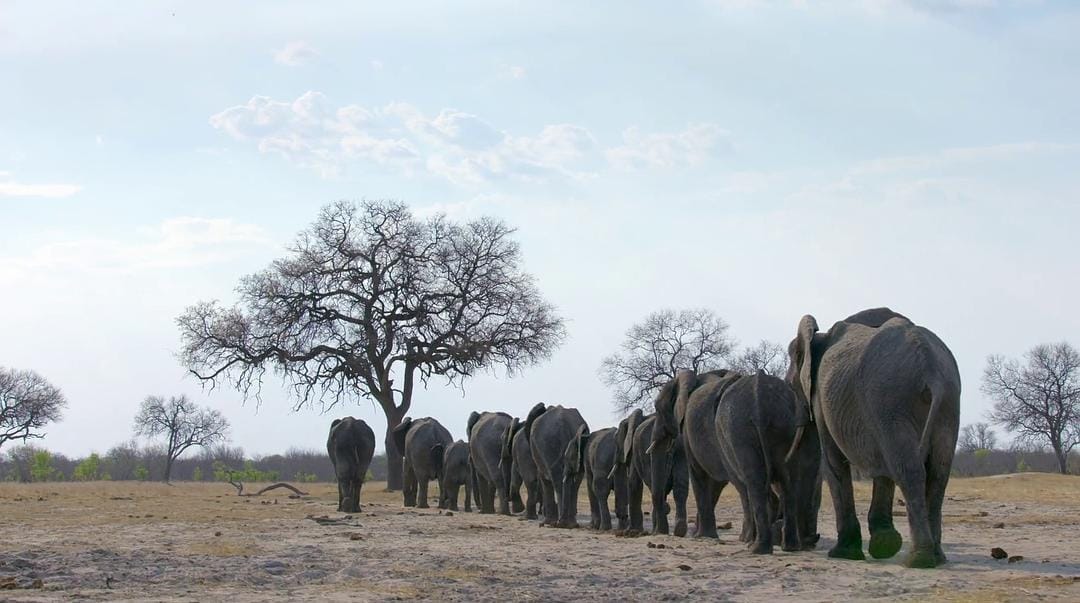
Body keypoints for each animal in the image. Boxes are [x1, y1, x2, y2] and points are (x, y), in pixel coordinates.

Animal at [714, 370, 822, 554]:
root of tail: (760, 401)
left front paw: (747, 541)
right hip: (785, 423)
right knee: (788, 482)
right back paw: (790, 547)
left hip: (740, 431)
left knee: (755, 483)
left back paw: (757, 548)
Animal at [786, 307, 961, 568]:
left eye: (790, 385)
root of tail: (930, 368)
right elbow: (882, 469)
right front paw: (884, 545)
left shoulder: (822, 401)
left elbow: (833, 463)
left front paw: (843, 553)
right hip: (947, 404)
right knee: (938, 473)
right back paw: (937, 557)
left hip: (891, 399)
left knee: (909, 471)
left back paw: (919, 560)